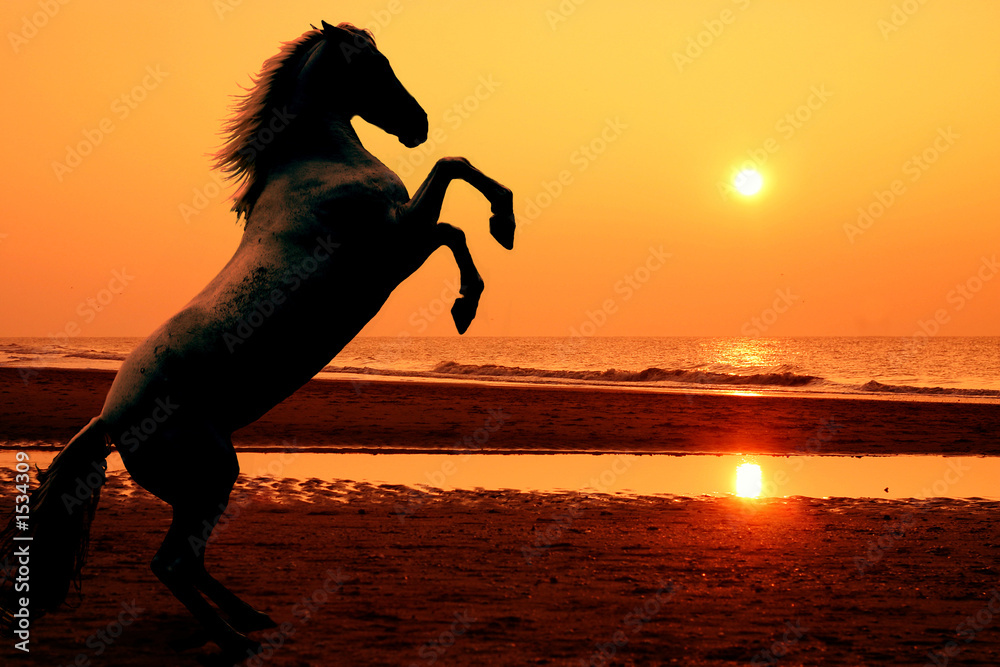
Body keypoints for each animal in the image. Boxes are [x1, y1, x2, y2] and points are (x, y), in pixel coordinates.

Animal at [0, 20, 514, 661]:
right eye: (375, 63)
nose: (416, 123)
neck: (317, 164)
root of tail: (109, 418)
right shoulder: (396, 241)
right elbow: (452, 188)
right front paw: (485, 263)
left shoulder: (400, 245)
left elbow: (453, 206)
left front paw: (484, 264)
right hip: (210, 477)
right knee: (171, 564)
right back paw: (235, 640)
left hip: (201, 487)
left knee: (188, 563)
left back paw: (251, 617)